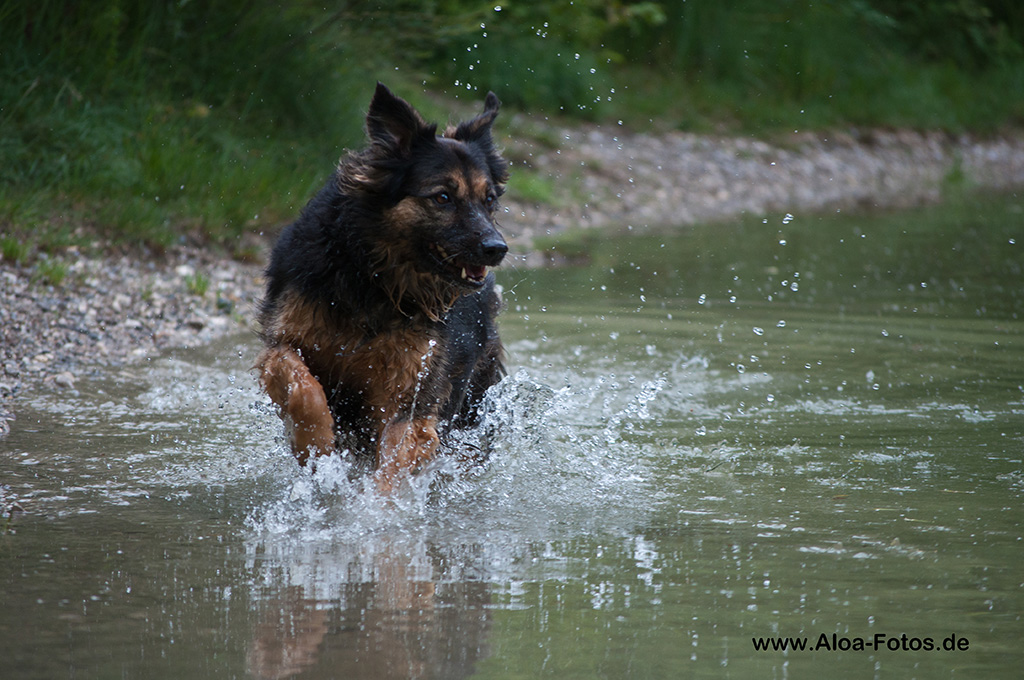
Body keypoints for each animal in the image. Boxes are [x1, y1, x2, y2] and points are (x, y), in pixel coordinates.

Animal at [254, 82, 507, 491]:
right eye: (443, 197)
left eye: (489, 200)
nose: (497, 248)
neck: (375, 281)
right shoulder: (283, 342)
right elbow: (303, 387)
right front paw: (315, 444)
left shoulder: (412, 395)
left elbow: (394, 464)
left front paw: (377, 505)